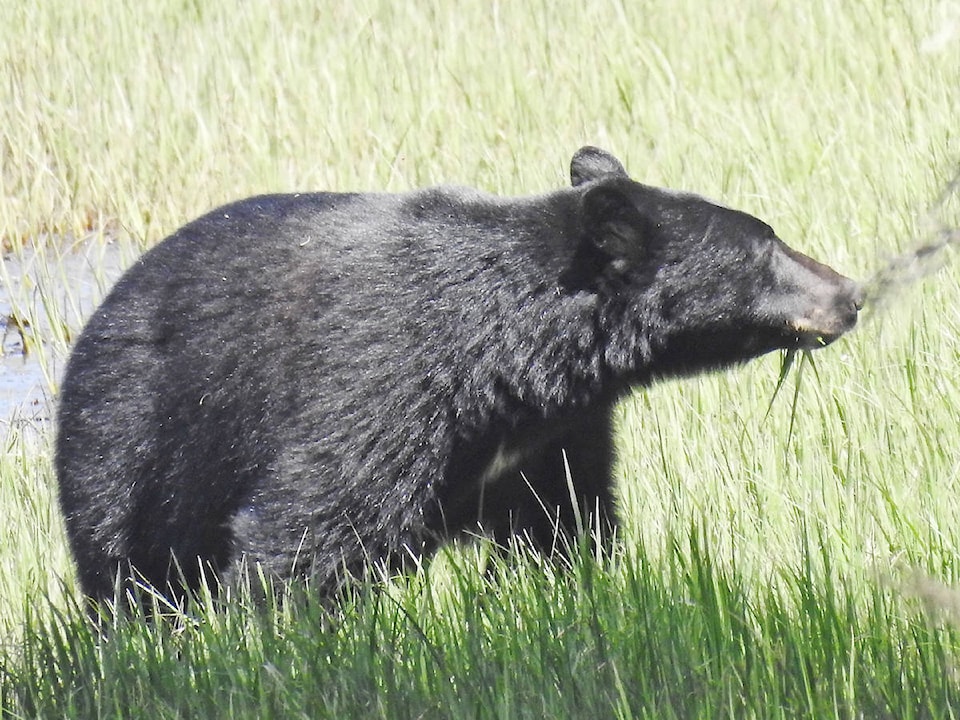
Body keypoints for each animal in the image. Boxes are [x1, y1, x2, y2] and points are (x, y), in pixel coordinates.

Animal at [54, 149, 864, 604]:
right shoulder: (384, 379)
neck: (510, 358)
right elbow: (308, 525)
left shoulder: (553, 431)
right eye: (763, 245)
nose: (850, 294)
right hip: (136, 433)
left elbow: (562, 522)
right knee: (128, 562)